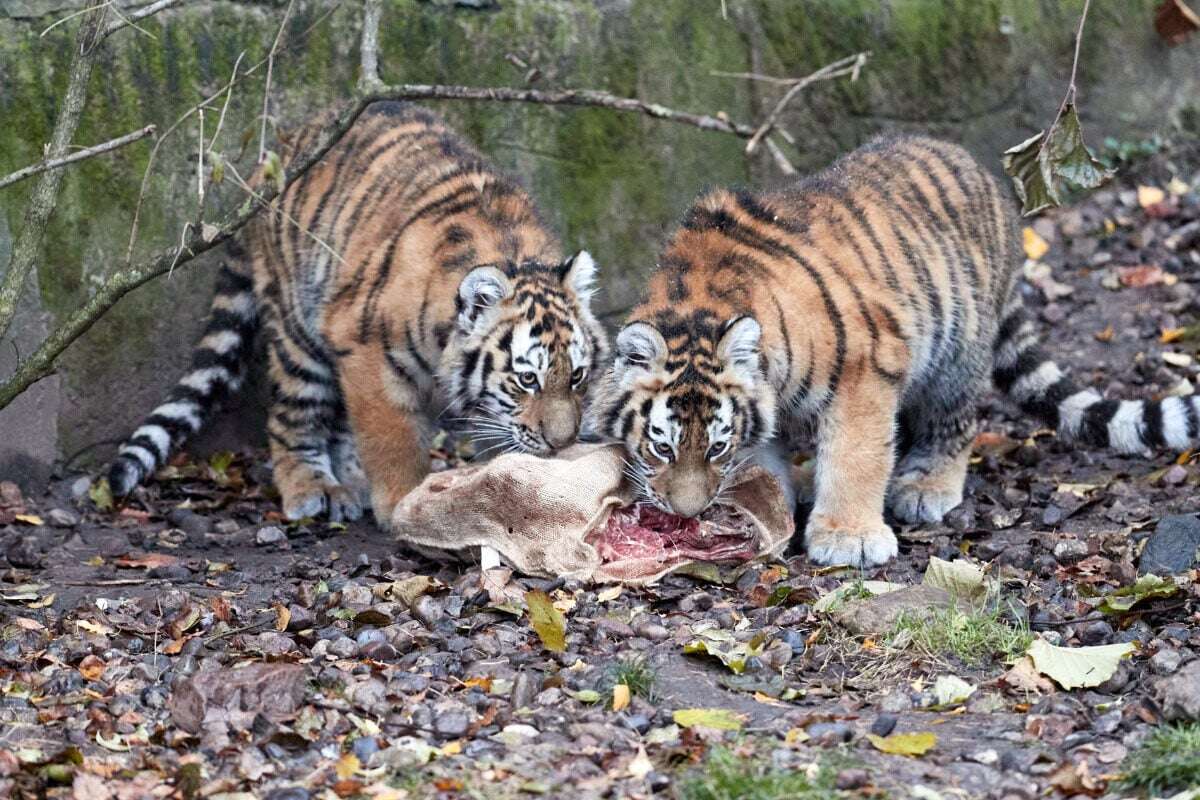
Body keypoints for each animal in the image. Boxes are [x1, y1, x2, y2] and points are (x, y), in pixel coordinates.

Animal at [108, 100, 604, 525]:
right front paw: (404, 503)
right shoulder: (367, 350)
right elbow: (392, 440)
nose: (563, 443)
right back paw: (311, 488)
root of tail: (278, 151)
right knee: (294, 415)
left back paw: (351, 478)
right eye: (527, 379)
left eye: (577, 376)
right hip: (299, 330)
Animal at [585, 134, 1195, 566]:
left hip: (957, 350)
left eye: (714, 447)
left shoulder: (868, 367)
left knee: (957, 420)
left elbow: (857, 455)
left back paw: (927, 486)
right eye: (662, 447)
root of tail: (976, 166)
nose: (686, 511)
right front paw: (766, 506)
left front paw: (847, 538)